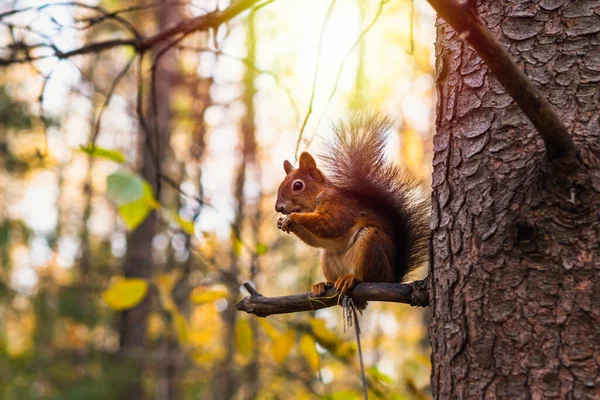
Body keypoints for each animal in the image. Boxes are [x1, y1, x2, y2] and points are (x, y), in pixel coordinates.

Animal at [274, 112, 428, 296]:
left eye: (297, 185)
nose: (278, 208)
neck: (314, 202)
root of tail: (391, 279)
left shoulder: (337, 205)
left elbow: (330, 224)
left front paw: (294, 217)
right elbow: (315, 239)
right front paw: (282, 222)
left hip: (371, 243)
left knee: (369, 277)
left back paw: (352, 279)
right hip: (328, 257)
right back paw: (324, 284)